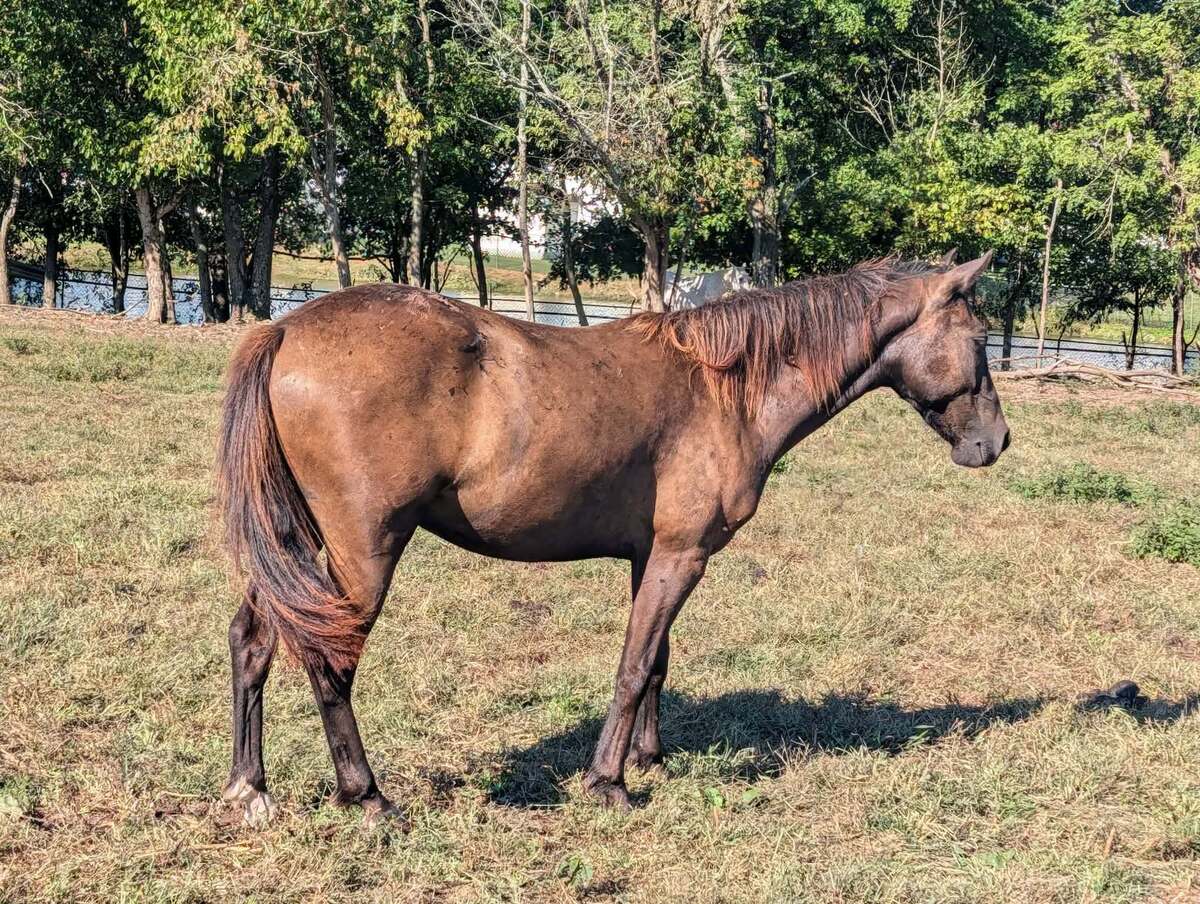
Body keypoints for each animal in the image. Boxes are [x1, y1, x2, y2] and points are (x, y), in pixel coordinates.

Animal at [216, 250, 1009, 826]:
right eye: (977, 340)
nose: (994, 442)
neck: (724, 387)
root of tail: (286, 330)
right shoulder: (682, 556)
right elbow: (632, 666)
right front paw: (609, 781)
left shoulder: (652, 556)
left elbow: (655, 661)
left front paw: (651, 757)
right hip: (362, 551)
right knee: (329, 660)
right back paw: (367, 795)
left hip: (294, 548)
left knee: (253, 639)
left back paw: (249, 788)